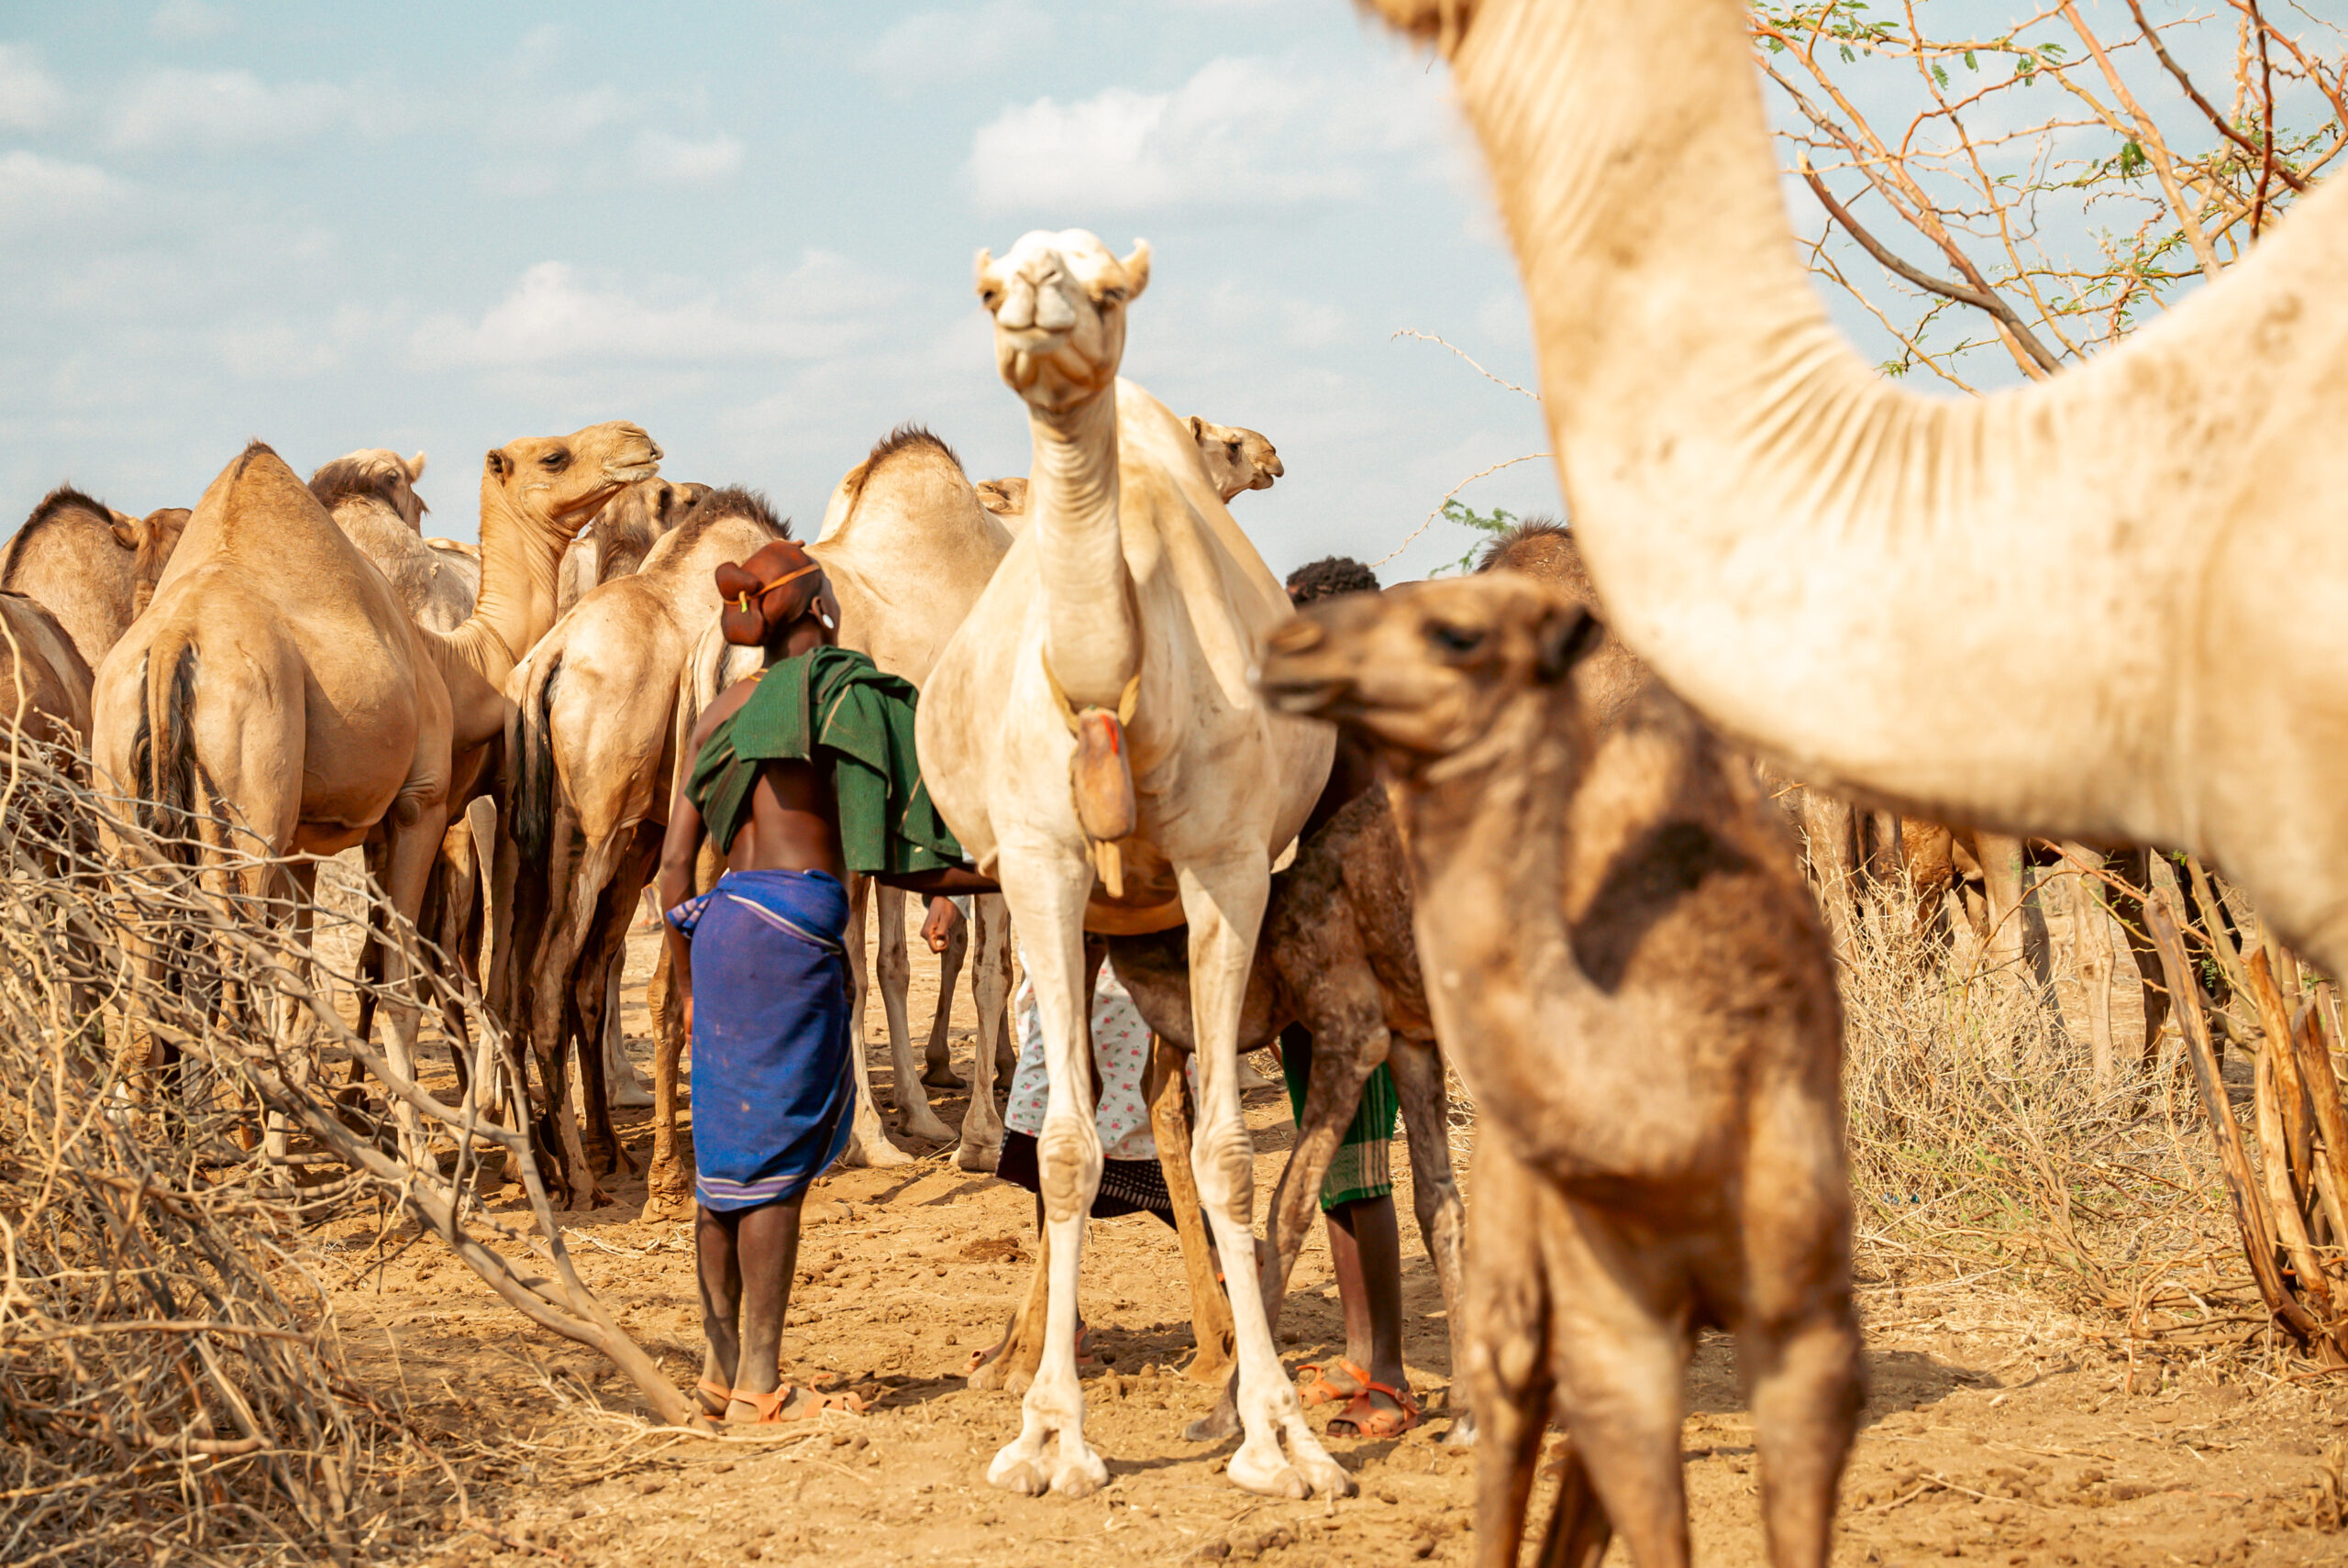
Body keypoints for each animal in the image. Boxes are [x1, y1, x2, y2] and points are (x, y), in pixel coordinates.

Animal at [500, 486, 788, 1208]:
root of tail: (550, 661)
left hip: (545, 843)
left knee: (529, 987)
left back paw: (568, 1159)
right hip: (599, 834)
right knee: (550, 982)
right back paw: (582, 1176)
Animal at [917, 230, 1340, 1501]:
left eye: (1109, 288)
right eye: (989, 287)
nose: (1037, 319)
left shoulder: (1226, 871)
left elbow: (1228, 1153)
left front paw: (1280, 1435)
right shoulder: (1041, 869)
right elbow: (1061, 1151)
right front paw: (1048, 1436)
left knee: (1166, 1108)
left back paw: (1216, 1355)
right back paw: (1022, 1353)